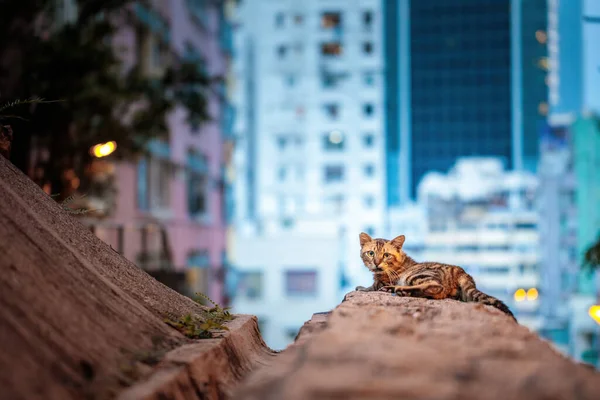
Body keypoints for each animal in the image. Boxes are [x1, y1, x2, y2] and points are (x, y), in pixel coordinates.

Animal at [356, 231, 516, 322]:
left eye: (386, 255)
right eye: (371, 253)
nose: (376, 263)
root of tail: (461, 272)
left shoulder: (386, 279)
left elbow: (373, 286)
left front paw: (363, 288)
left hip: (418, 275)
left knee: (436, 287)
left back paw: (401, 290)